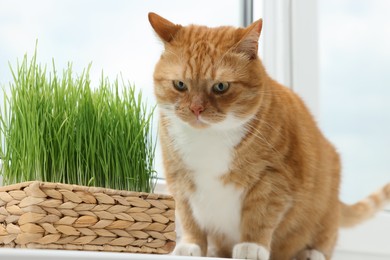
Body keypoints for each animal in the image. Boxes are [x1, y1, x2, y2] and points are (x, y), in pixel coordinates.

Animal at [148, 12, 390, 260]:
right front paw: (191, 246)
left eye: (221, 86)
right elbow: (188, 217)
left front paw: (252, 246)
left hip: (326, 204)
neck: (209, 138)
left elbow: (259, 215)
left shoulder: (274, 179)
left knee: (325, 239)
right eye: (180, 85)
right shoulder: (177, 179)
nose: (196, 109)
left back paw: (310, 253)